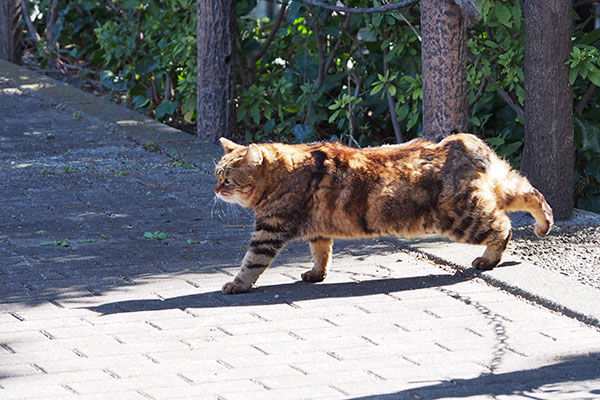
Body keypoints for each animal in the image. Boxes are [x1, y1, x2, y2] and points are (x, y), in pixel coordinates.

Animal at [214, 134, 552, 294]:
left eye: (227, 179)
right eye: (217, 175)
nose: (215, 189)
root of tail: (460, 143)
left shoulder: (269, 231)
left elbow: (251, 263)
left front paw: (236, 285)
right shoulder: (319, 231)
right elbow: (322, 254)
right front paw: (316, 274)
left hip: (464, 218)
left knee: (503, 226)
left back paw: (488, 258)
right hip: (496, 188)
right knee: (530, 194)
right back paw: (543, 225)